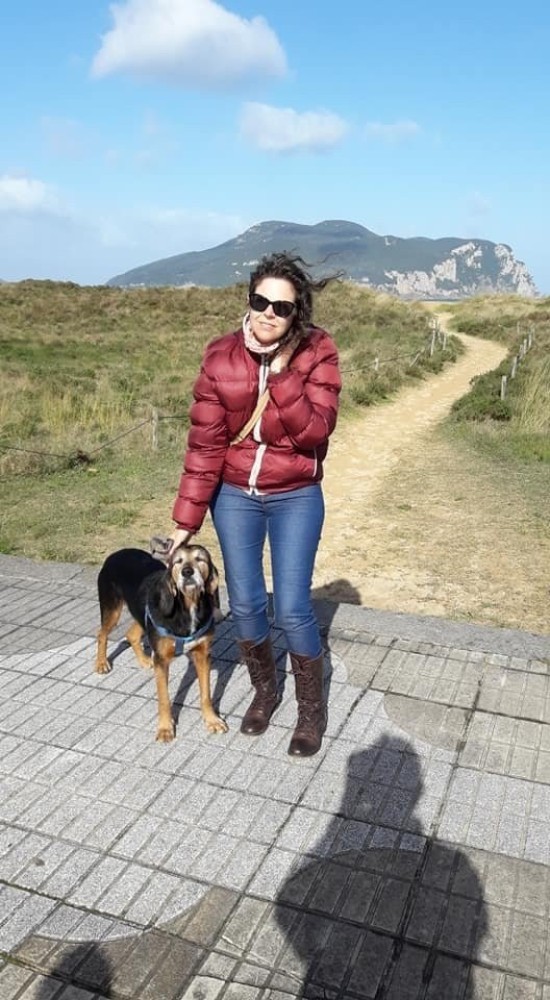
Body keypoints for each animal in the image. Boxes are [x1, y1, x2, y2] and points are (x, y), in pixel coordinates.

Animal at [95, 537, 228, 742]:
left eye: (200, 559)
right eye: (178, 561)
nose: (187, 572)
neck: (187, 607)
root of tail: (116, 553)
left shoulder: (203, 654)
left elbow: (206, 694)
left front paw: (212, 720)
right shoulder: (162, 660)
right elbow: (164, 699)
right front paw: (165, 728)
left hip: (142, 615)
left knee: (131, 634)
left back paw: (143, 660)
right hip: (113, 610)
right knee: (101, 634)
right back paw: (101, 663)